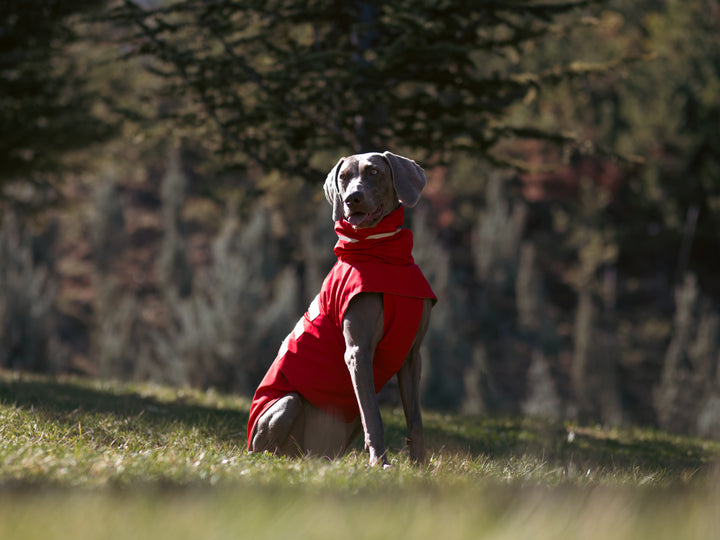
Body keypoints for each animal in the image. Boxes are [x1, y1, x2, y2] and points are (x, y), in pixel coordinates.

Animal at [245, 152, 436, 468]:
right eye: (343, 177)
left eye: (374, 172)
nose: (351, 199)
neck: (385, 256)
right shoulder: (358, 351)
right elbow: (374, 416)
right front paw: (380, 464)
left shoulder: (411, 355)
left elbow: (416, 421)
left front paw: (420, 466)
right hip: (285, 406)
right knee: (269, 448)